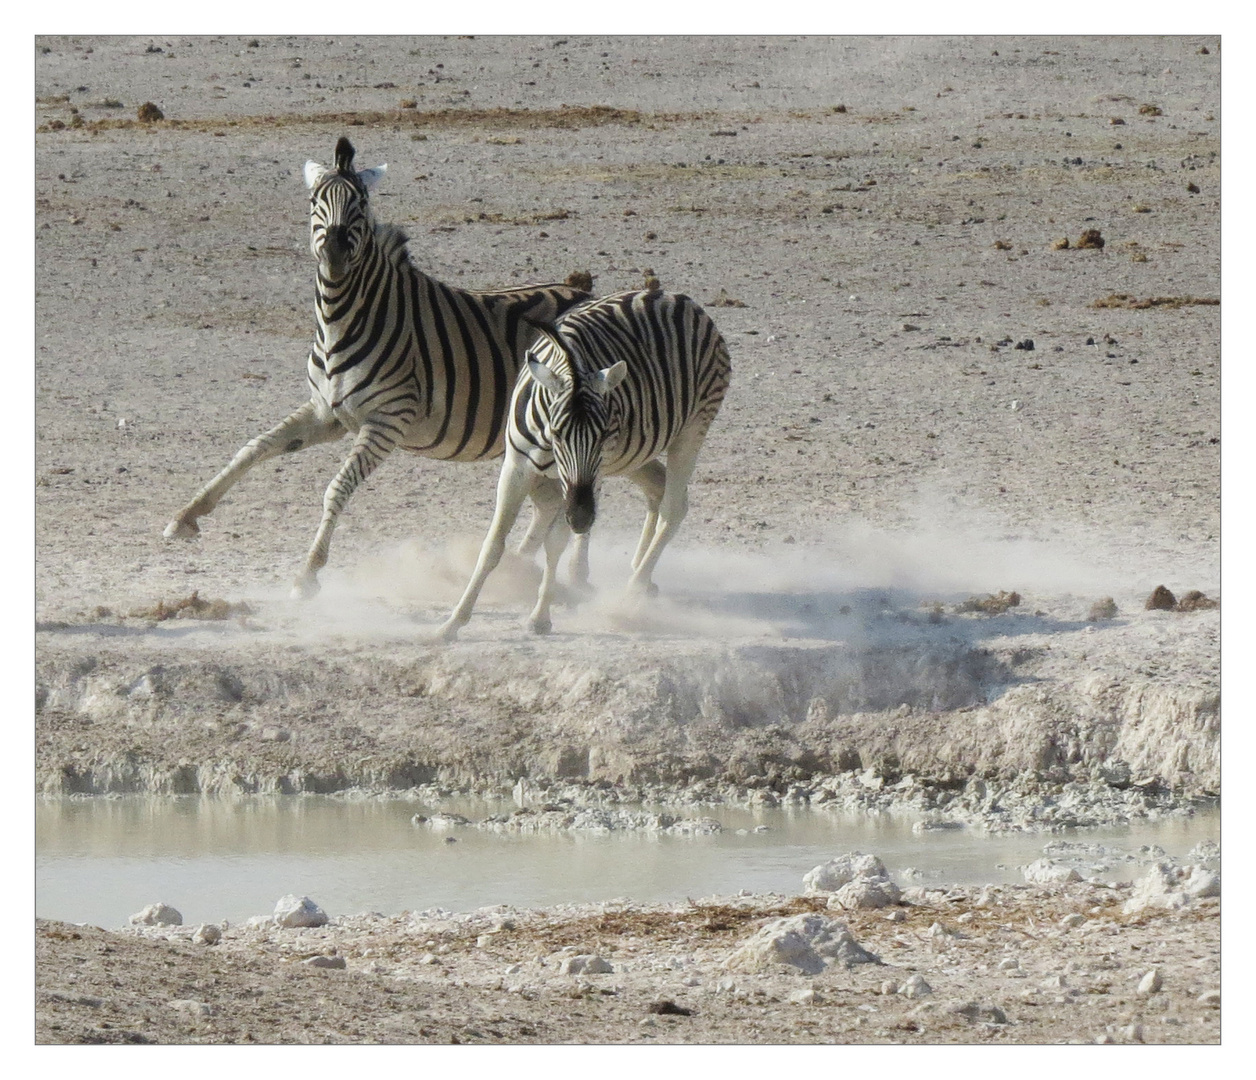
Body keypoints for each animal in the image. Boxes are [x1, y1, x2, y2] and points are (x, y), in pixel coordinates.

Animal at [164, 135, 590, 600]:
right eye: (315, 201)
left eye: (361, 204)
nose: (333, 254)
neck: (342, 321)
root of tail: (586, 293)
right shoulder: (326, 413)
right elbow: (254, 447)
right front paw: (186, 515)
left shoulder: (388, 420)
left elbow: (336, 489)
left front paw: (307, 574)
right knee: (549, 506)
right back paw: (520, 569)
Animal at [437, 288, 733, 640]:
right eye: (556, 431)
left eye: (603, 434)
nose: (580, 518)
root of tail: (676, 297)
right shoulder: (517, 467)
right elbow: (493, 546)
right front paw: (454, 621)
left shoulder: (590, 475)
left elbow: (555, 544)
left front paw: (540, 616)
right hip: (637, 452)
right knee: (659, 492)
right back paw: (640, 576)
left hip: (692, 428)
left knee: (673, 507)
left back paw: (632, 593)